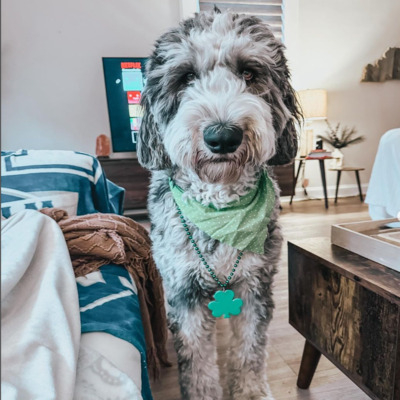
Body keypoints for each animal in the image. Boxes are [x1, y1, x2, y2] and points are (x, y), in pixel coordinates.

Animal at [137, 7, 300, 400]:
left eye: (249, 73)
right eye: (186, 77)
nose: (222, 136)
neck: (221, 207)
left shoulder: (255, 283)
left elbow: (250, 348)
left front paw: (251, 390)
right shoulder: (184, 292)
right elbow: (197, 362)